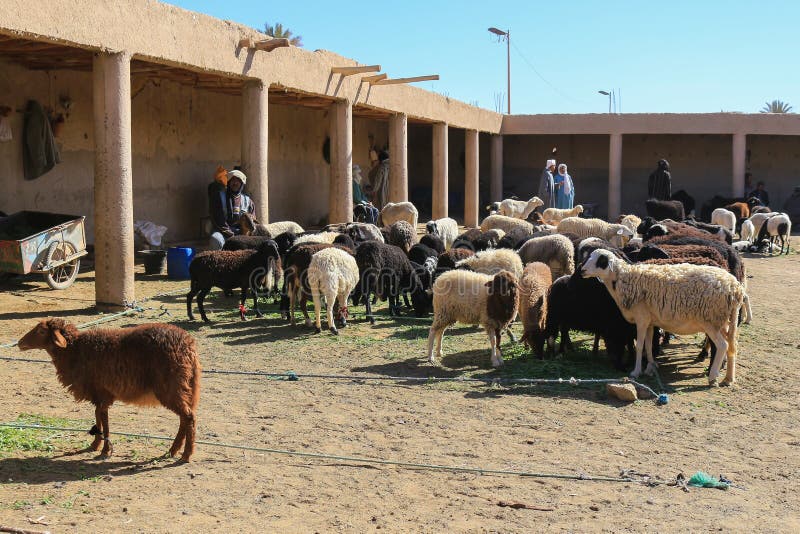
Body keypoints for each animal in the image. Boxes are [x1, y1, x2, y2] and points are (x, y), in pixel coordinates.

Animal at [17, 320, 202, 462]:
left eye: (41, 330)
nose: (19, 343)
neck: (75, 351)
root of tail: (189, 345)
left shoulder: (102, 391)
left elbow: (104, 420)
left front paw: (105, 450)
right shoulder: (98, 394)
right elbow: (98, 416)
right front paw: (95, 445)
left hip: (171, 386)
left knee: (189, 417)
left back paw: (185, 455)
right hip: (183, 387)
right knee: (185, 418)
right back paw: (172, 451)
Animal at [580, 249, 744, 388]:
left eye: (601, 261)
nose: (581, 270)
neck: (623, 279)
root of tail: (735, 288)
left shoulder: (641, 318)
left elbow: (640, 346)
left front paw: (636, 372)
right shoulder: (649, 322)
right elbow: (648, 345)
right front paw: (650, 368)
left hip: (711, 320)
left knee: (722, 345)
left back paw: (713, 377)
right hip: (724, 321)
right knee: (732, 345)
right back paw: (728, 378)